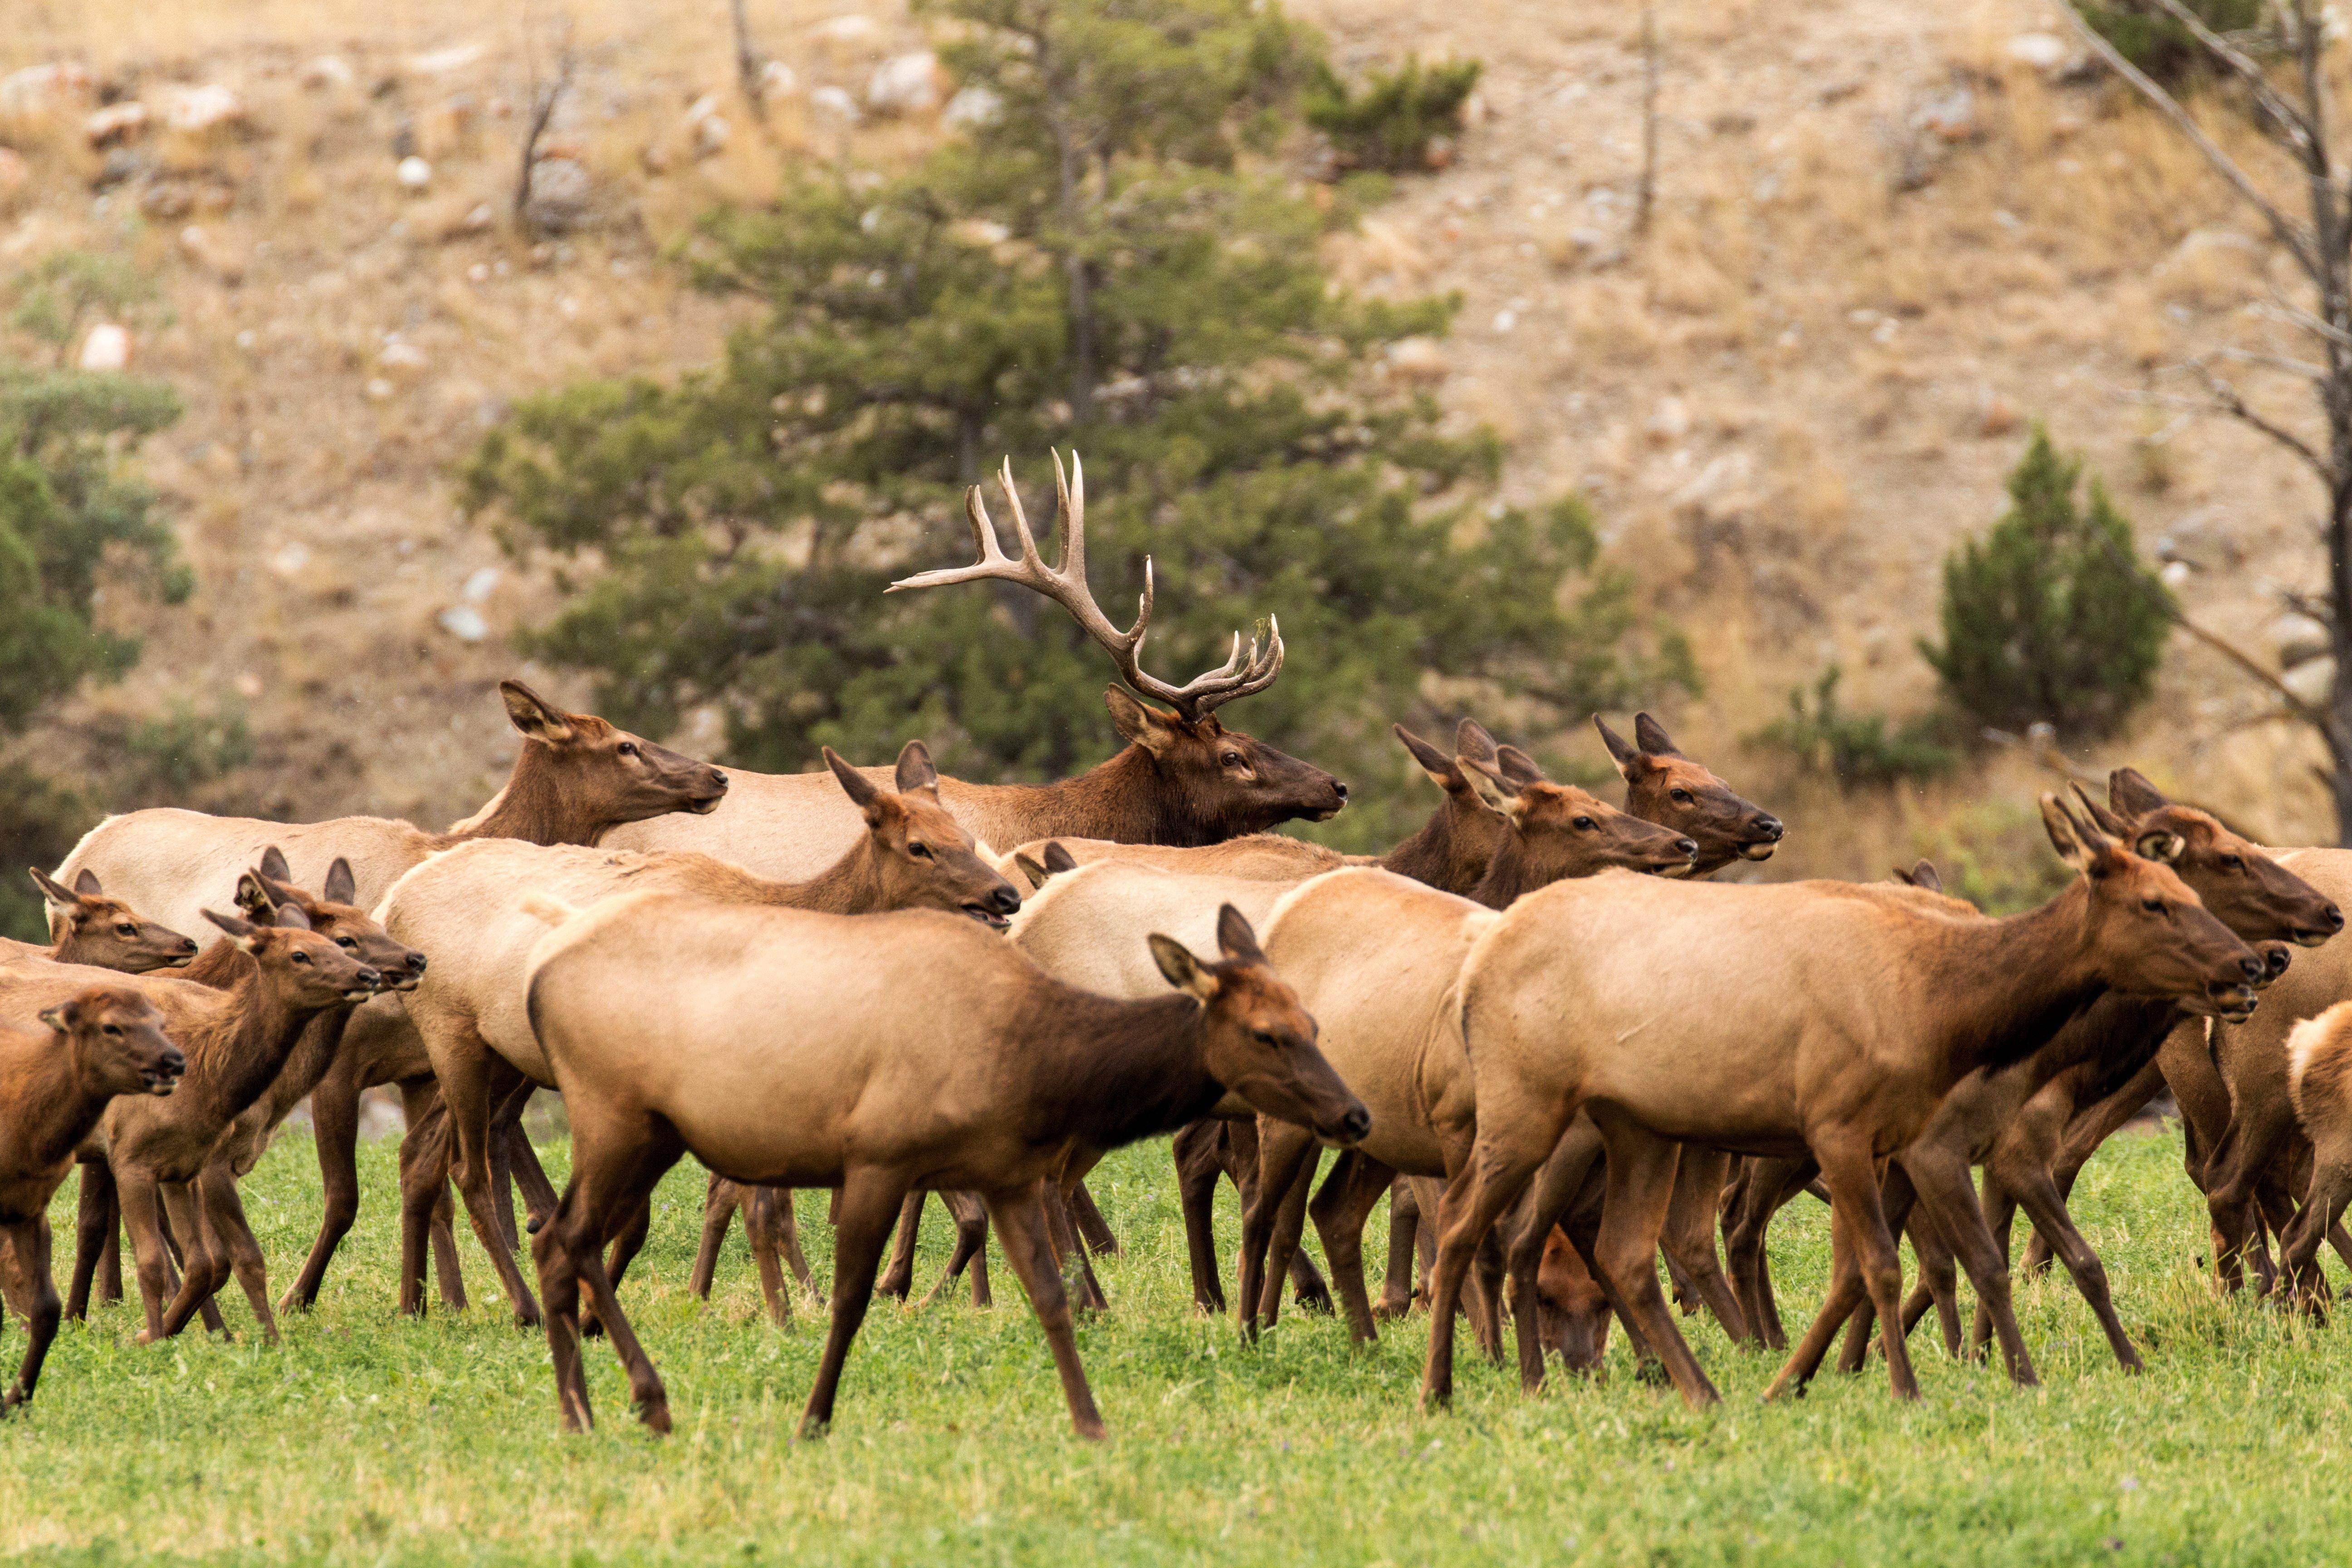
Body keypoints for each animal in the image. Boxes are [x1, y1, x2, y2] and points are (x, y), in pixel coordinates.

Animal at [515, 903, 1364, 1438]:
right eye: (1267, 1033)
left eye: (1315, 1022)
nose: (1355, 1114)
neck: (1035, 1064)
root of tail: (535, 985)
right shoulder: (878, 1158)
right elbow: (851, 1300)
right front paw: (814, 1417)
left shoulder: (1008, 1173)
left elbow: (1052, 1297)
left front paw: (1090, 1422)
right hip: (614, 1115)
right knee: (561, 1235)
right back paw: (622, 1405)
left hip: (651, 1132)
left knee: (563, 1239)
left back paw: (589, 1409)